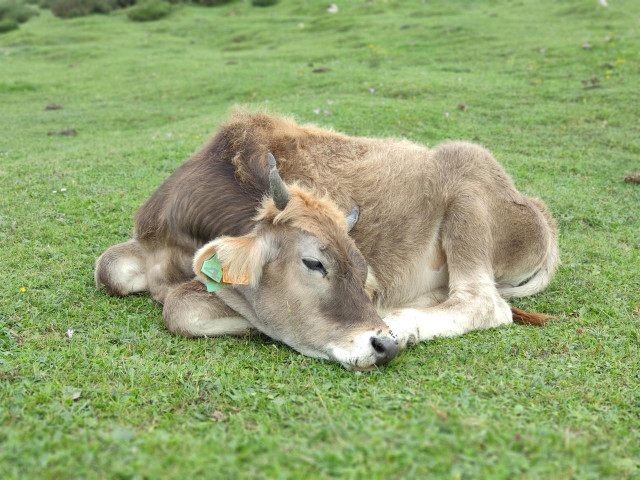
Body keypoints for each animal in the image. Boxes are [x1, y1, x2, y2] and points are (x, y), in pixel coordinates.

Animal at [95, 110, 558, 370]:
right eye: (315, 263)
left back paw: (405, 321)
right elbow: (108, 268)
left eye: (364, 272)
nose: (383, 344)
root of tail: (537, 210)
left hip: (468, 188)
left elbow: (181, 304)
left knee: (484, 303)